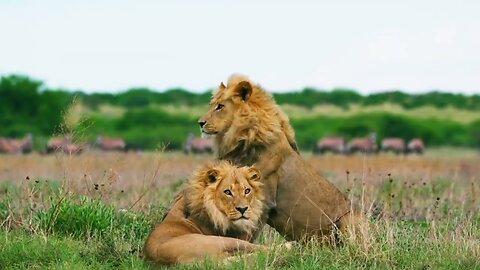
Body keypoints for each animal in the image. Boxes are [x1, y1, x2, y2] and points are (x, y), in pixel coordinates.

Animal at [199, 74, 364, 243]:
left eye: (220, 106)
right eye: (212, 105)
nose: (200, 123)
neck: (243, 140)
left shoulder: (263, 200)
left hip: (350, 219)